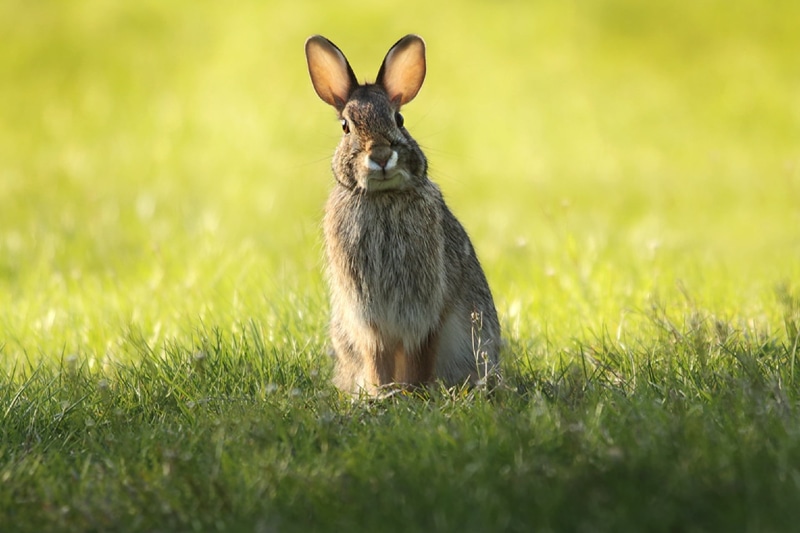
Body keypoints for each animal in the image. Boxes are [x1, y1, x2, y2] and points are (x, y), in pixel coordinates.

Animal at [305, 34, 500, 396]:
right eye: (346, 126)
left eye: (399, 120)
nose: (381, 155)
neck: (382, 197)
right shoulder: (367, 316)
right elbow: (377, 355)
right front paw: (382, 392)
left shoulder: (424, 311)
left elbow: (419, 352)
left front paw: (412, 391)